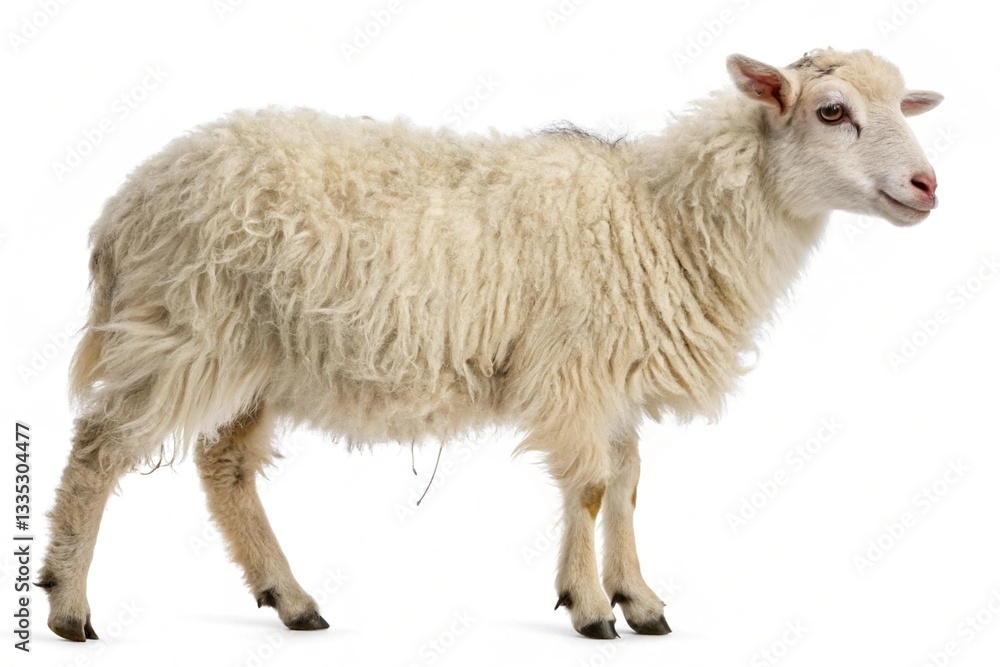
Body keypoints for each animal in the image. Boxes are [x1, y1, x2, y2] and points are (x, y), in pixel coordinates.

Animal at [39, 47, 942, 642]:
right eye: (832, 111)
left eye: (903, 106)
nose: (928, 185)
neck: (659, 216)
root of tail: (125, 204)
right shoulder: (576, 369)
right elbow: (590, 487)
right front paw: (589, 606)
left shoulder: (613, 375)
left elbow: (628, 483)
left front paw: (638, 598)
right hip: (185, 331)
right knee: (98, 449)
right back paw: (67, 603)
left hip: (261, 355)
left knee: (224, 467)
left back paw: (289, 597)